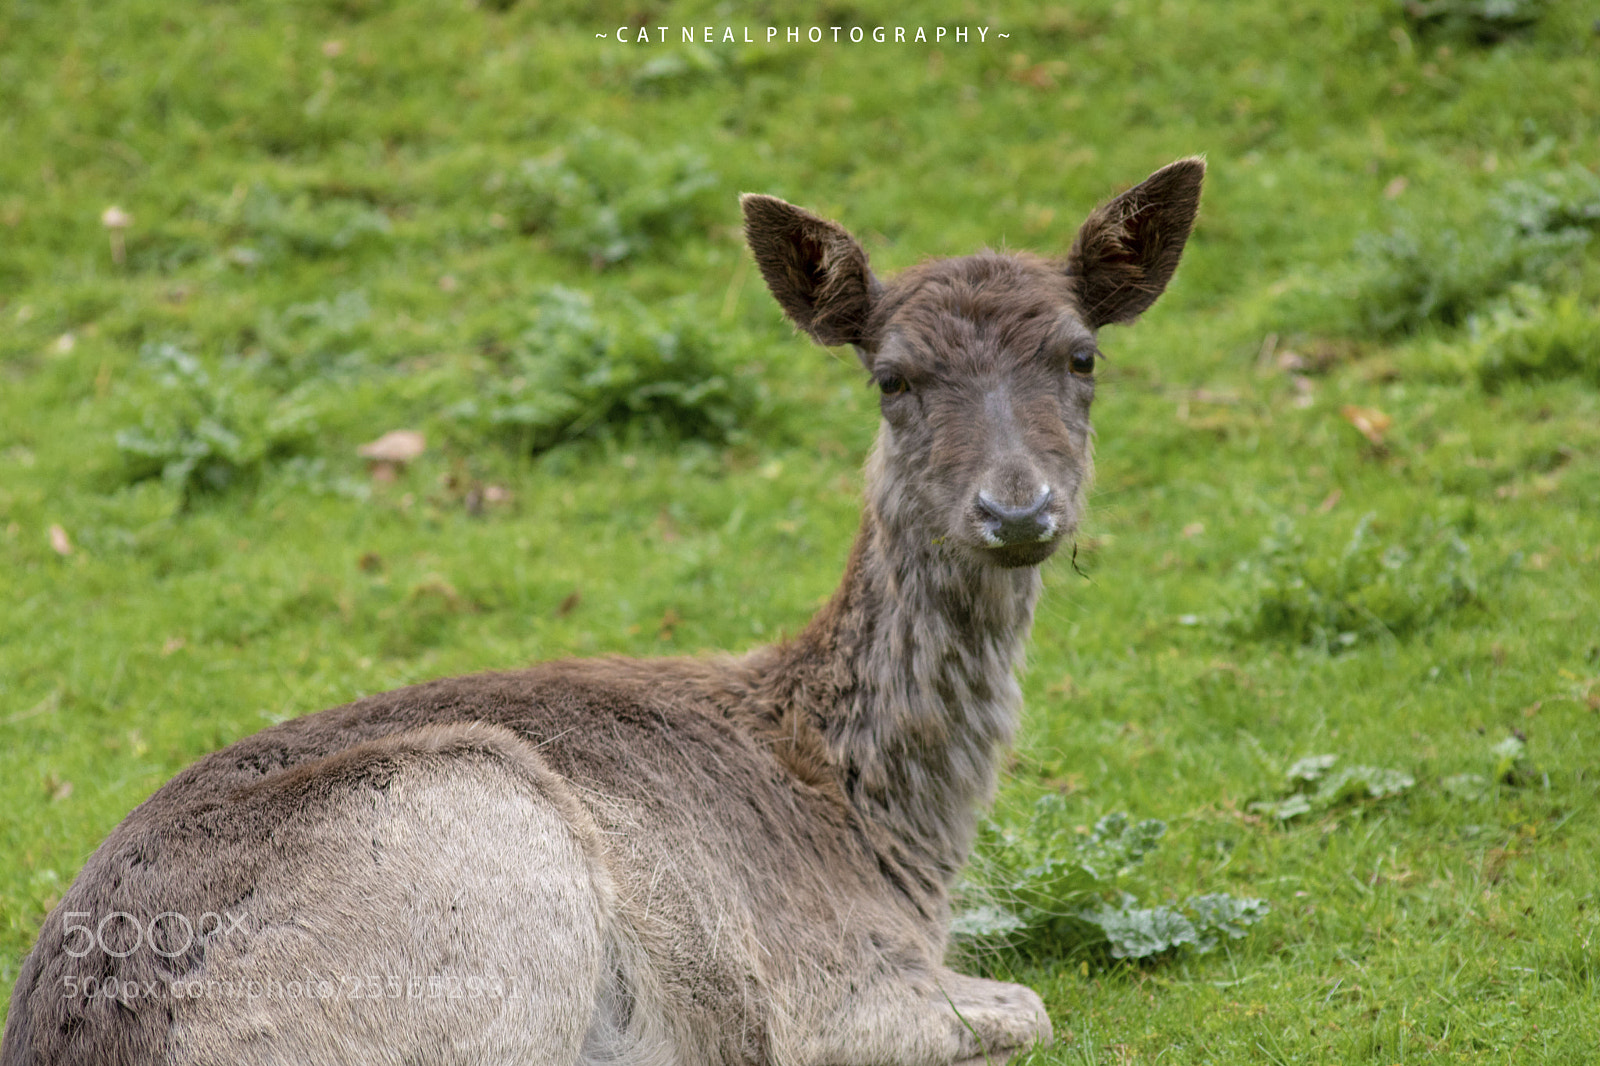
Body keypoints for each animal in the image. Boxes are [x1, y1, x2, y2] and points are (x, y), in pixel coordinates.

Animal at [1, 158, 1203, 1066]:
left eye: (1080, 356)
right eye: (892, 379)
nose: (1017, 507)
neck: (888, 841)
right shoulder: (830, 986)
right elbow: (1024, 1005)